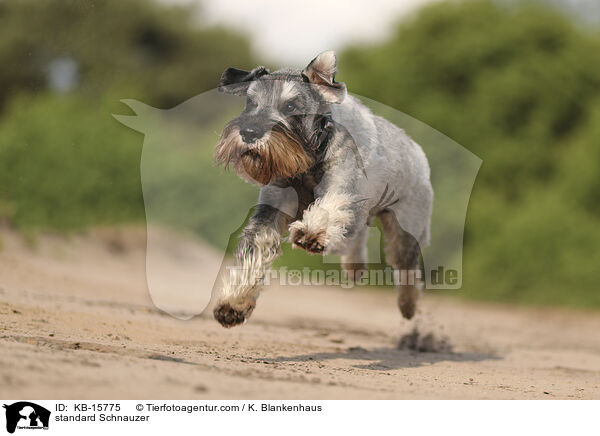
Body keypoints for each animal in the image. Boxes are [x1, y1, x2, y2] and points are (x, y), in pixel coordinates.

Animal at [213, 51, 434, 328]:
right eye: (251, 102)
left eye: (290, 107)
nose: (249, 132)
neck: (307, 162)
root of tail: (417, 151)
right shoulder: (270, 213)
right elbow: (254, 251)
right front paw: (233, 303)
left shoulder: (340, 189)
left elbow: (327, 208)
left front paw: (310, 232)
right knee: (356, 236)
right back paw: (354, 267)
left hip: (405, 229)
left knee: (407, 267)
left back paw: (408, 306)